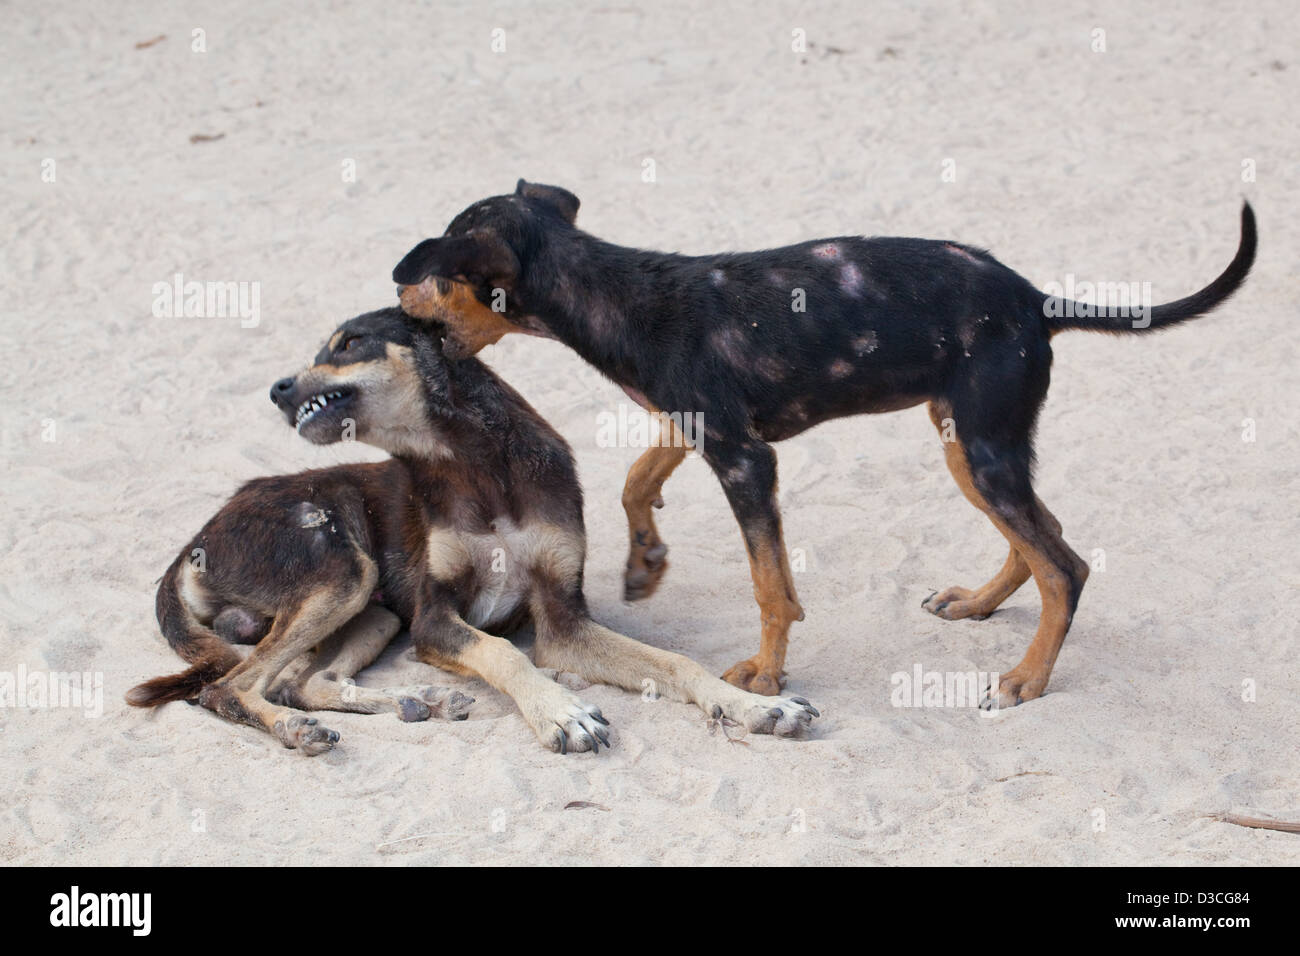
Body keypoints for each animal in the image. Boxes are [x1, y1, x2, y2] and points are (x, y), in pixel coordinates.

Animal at [126, 306, 816, 754]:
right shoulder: (436, 619)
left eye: (348, 344)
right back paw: (298, 731)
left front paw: (759, 706)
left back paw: (418, 701)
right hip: (344, 572)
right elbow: (504, 652)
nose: (277, 388)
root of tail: (194, 542)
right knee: (228, 689)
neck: (474, 462)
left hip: (372, 609)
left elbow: (676, 663)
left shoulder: (563, 623)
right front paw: (560, 712)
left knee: (301, 682)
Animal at [390, 183, 1253, 712]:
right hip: (970, 446)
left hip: (981, 449)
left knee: (1064, 566)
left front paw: (767, 676)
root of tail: (1038, 299)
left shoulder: (745, 459)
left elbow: (771, 586)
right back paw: (979, 603)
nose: (394, 285)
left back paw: (1027, 679)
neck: (619, 292)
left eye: (436, 274)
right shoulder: (699, 427)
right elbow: (636, 478)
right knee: (1043, 541)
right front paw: (644, 562)